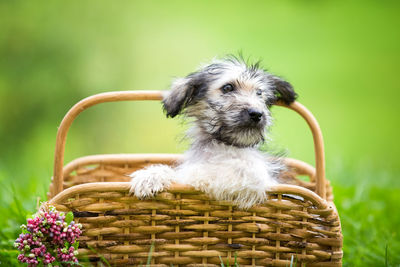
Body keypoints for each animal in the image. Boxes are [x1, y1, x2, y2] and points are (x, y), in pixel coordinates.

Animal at [129, 56, 296, 210]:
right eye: (227, 88)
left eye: (259, 93)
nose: (256, 114)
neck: (224, 145)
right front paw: (150, 176)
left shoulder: (249, 176)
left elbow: (193, 175)